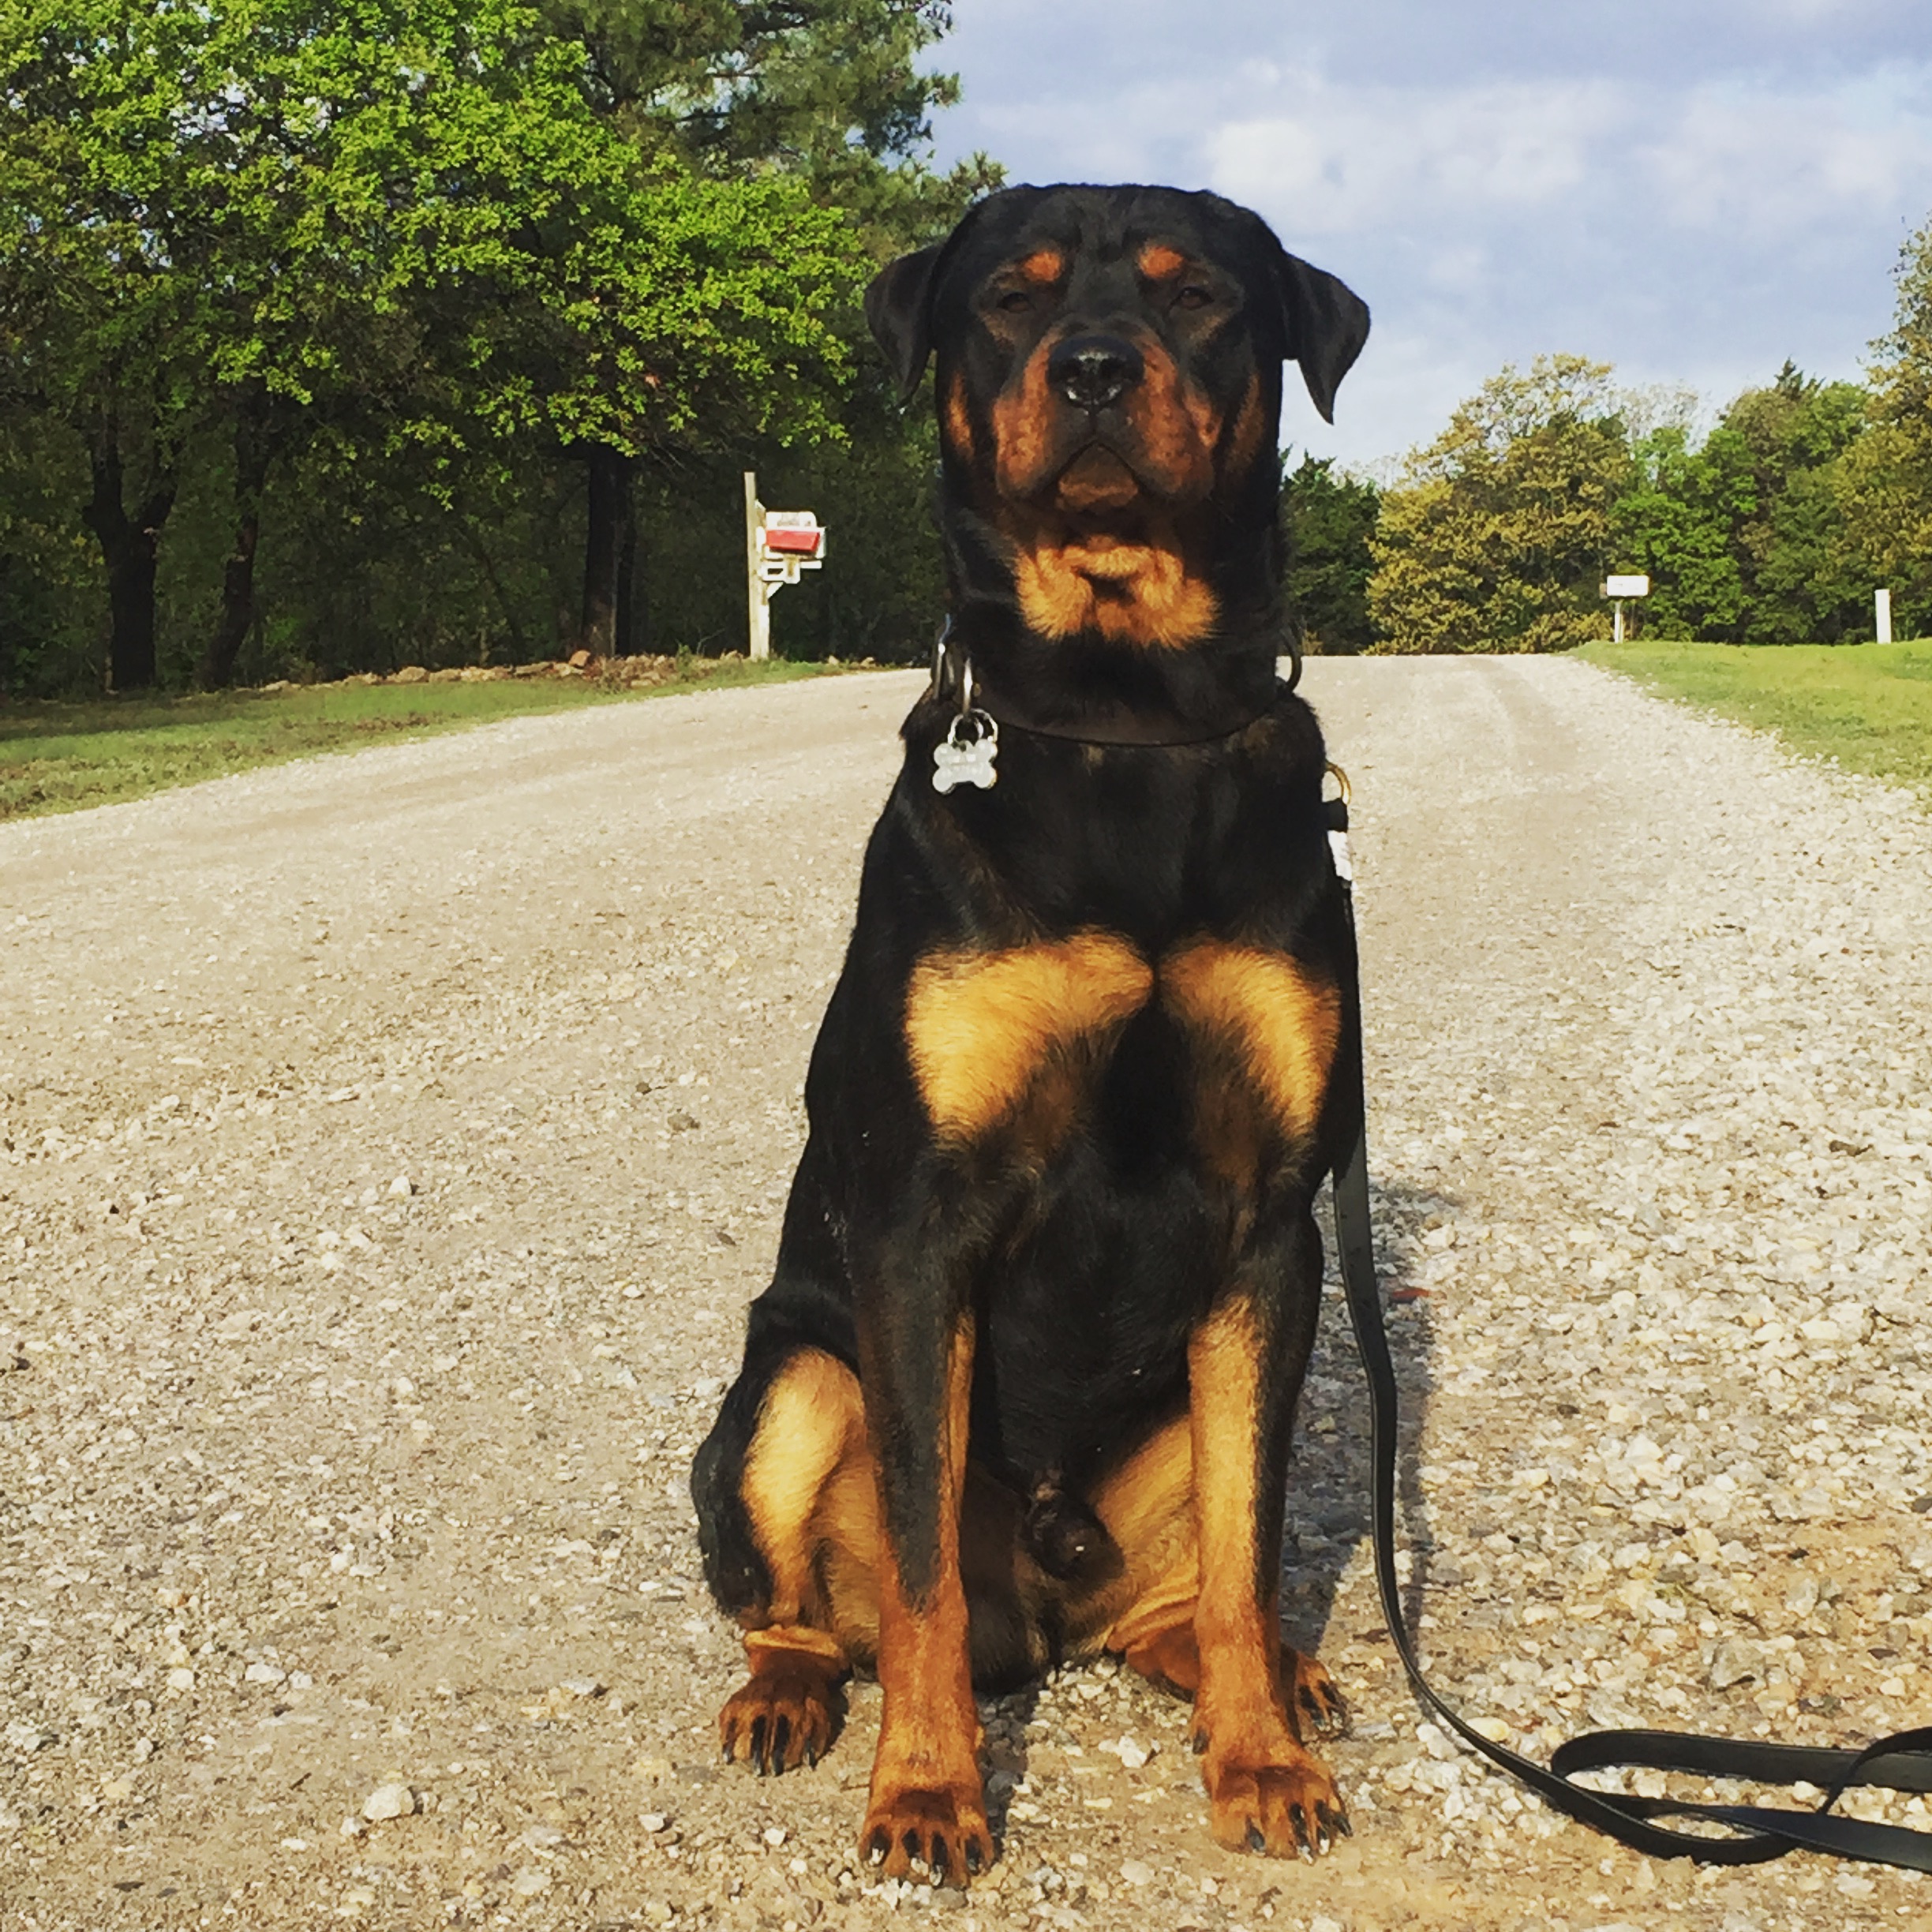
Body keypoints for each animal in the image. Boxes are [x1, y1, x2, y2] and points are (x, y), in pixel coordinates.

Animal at [692, 183, 1370, 1886]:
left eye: (1198, 296)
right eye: (1009, 297)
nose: (1095, 370)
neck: (1122, 710)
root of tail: (1048, 1624)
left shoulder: (1270, 1225)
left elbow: (1255, 1545)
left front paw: (1260, 1763)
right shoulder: (918, 1222)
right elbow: (923, 1564)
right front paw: (930, 1791)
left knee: (1191, 1597)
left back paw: (1277, 1681)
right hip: (796, 1382)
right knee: (813, 1608)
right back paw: (787, 1696)